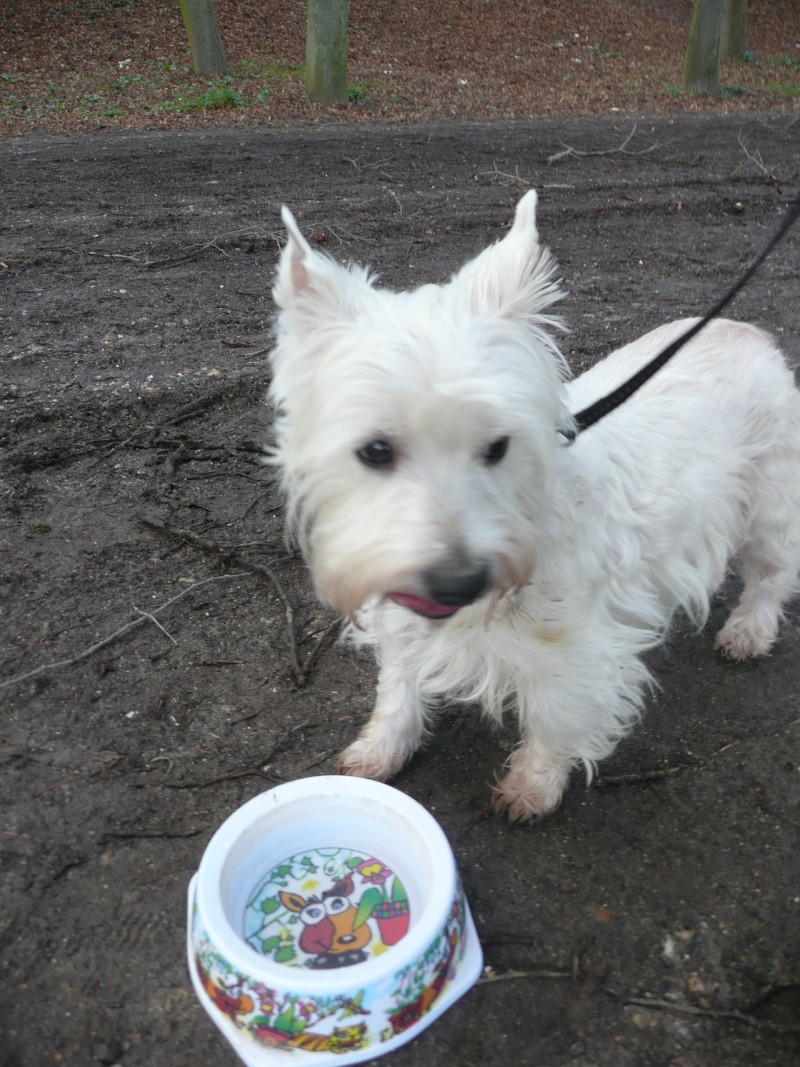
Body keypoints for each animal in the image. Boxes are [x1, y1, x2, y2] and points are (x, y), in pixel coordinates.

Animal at [269, 194, 800, 823]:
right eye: (374, 450)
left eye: (498, 445)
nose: (457, 581)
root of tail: (749, 332)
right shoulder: (402, 611)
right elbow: (398, 685)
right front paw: (380, 749)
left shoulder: (574, 645)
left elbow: (556, 711)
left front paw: (532, 785)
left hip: (769, 504)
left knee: (771, 574)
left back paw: (747, 631)